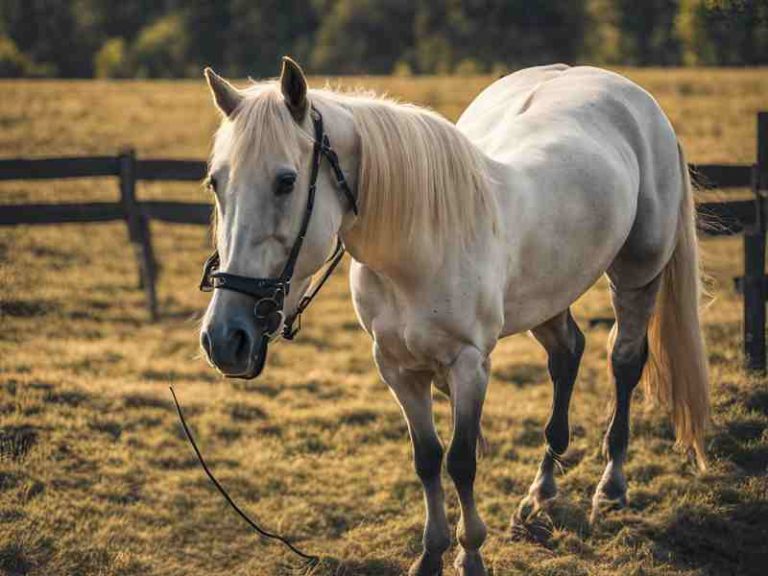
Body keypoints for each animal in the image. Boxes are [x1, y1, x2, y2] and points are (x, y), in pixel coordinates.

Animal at [198, 57, 709, 576]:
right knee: (567, 355)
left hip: (637, 275)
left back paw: (611, 487)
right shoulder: (397, 368)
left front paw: (472, 554)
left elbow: (461, 461)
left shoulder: (469, 364)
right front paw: (431, 554)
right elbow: (427, 458)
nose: (225, 338)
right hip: (548, 296)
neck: (417, 247)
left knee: (623, 361)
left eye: (285, 181)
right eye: (215, 182)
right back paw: (539, 494)